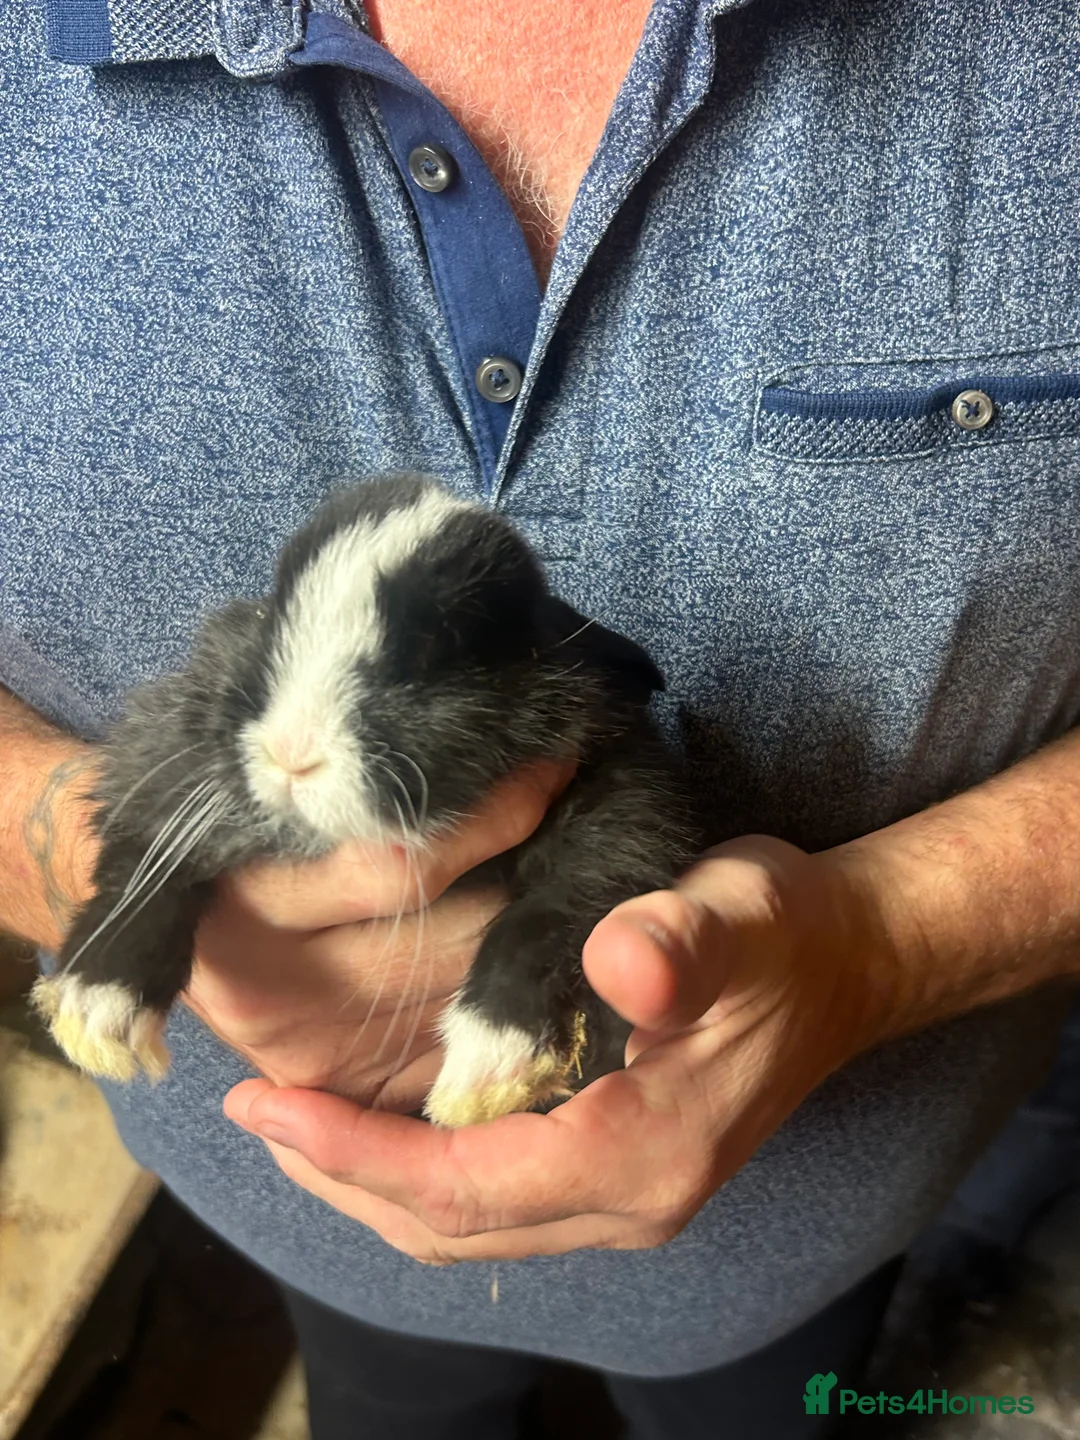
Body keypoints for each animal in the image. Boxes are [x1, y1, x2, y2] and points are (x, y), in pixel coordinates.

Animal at [32, 474, 702, 1127]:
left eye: (440, 643)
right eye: (274, 619)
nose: (290, 752)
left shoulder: (618, 816)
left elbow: (549, 915)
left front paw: (486, 1074)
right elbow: (144, 869)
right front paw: (94, 1016)